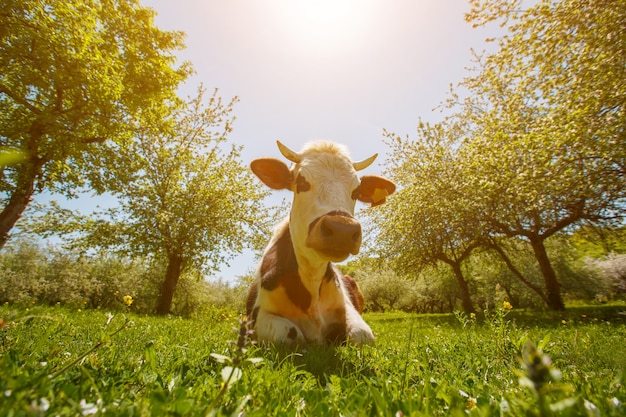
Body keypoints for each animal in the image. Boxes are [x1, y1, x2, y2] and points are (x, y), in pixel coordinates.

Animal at [245, 140, 394, 344]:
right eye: (301, 182)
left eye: (356, 191)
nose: (342, 230)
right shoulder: (255, 319)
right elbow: (291, 334)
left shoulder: (348, 309)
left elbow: (362, 335)